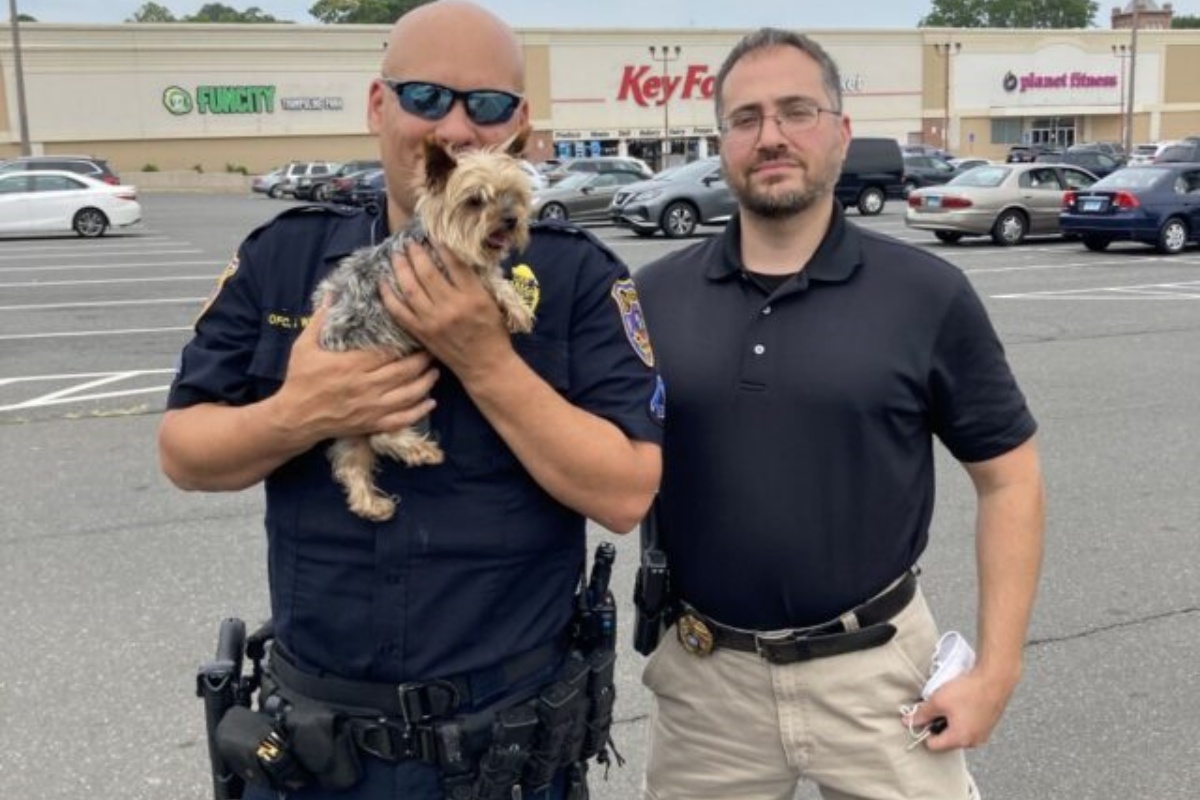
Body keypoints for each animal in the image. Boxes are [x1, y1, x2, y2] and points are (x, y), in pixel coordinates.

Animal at [312, 134, 532, 522]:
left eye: (514, 196)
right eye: (475, 201)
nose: (510, 220)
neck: (436, 238)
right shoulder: (454, 270)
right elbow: (492, 279)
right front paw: (517, 307)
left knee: (352, 459)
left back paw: (371, 503)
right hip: (389, 387)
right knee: (380, 436)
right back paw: (419, 450)